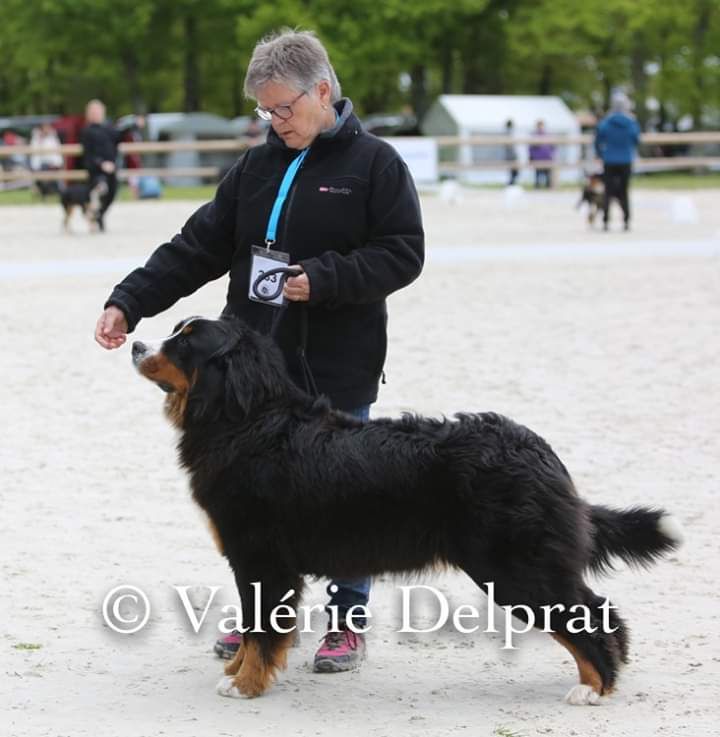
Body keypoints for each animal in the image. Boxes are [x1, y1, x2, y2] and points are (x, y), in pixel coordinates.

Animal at [131, 314, 688, 700]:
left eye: (185, 341)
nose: (135, 343)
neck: (246, 420)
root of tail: (536, 448)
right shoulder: (259, 562)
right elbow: (254, 628)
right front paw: (239, 669)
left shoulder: (261, 559)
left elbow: (262, 627)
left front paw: (244, 684)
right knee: (598, 609)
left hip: (514, 568)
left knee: (584, 615)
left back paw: (594, 687)